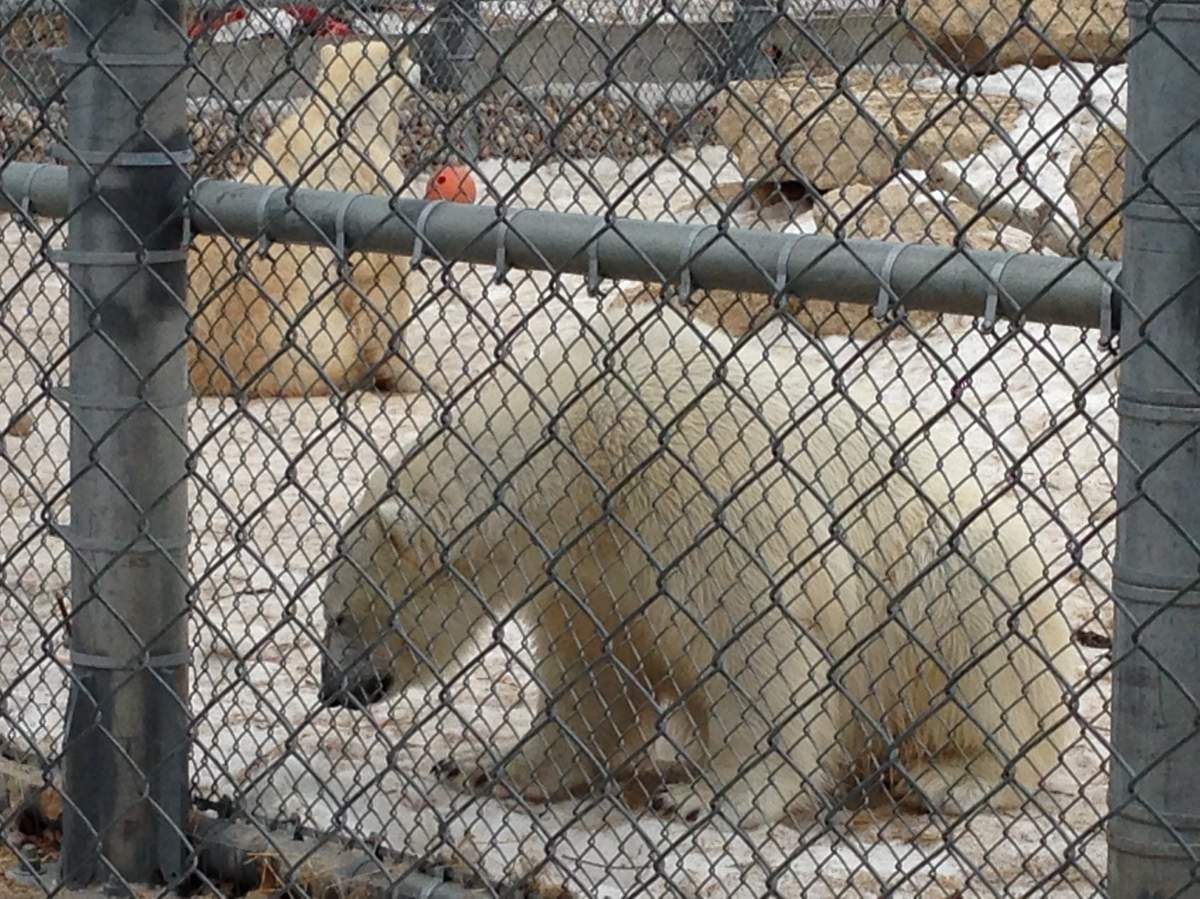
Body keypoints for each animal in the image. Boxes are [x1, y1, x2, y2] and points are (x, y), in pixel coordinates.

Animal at [188, 39, 422, 398]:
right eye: (403, 54)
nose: (420, 67)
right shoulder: (374, 179)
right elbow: (381, 279)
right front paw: (407, 377)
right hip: (299, 344)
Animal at [316, 302, 1079, 828]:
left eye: (340, 613)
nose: (332, 691)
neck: (584, 447)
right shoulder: (589, 562)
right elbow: (596, 669)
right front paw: (487, 764)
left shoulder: (700, 489)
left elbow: (762, 639)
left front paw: (711, 795)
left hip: (967, 571)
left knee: (975, 655)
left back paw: (948, 778)